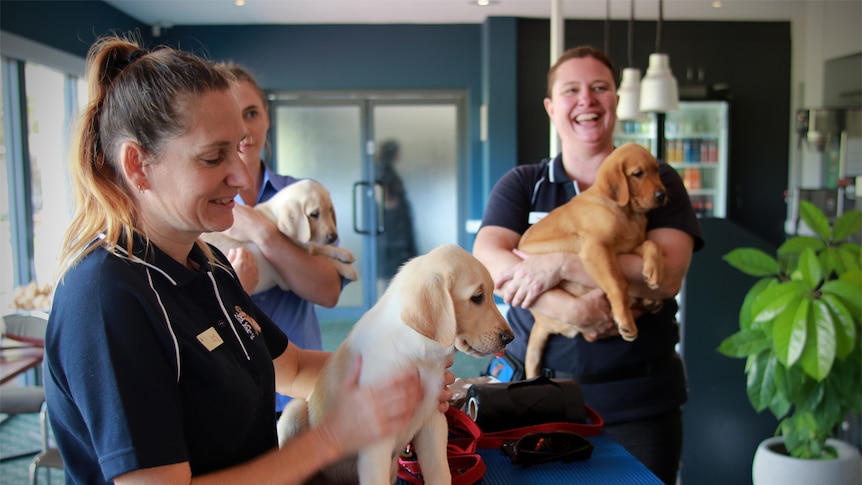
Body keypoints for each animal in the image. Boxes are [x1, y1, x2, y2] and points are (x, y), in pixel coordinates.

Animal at [202, 177, 358, 292]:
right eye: (314, 214)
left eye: (330, 210)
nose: (333, 237)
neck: (274, 218)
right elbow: (322, 258)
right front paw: (348, 269)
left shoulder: (306, 245)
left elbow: (318, 248)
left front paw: (344, 253)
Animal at [280, 244, 516, 482]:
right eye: (477, 297)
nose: (510, 337)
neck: (418, 357)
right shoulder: (377, 441)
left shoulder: (433, 421)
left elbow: (440, 472)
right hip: (294, 411)